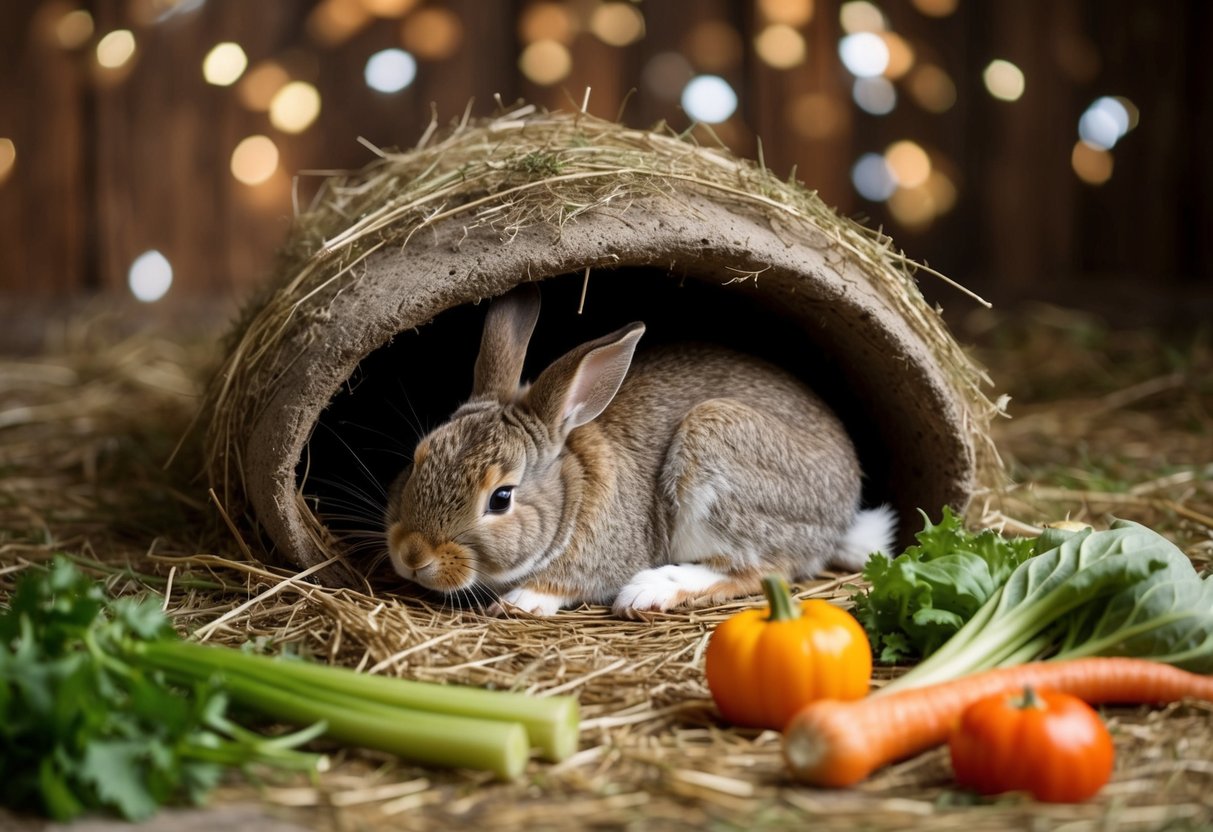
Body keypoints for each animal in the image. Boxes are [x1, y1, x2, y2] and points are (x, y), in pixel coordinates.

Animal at [383, 283, 896, 618]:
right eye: (418, 458)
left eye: (501, 499)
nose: (413, 557)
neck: (573, 487)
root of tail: (841, 516)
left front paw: (523, 600)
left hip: (720, 459)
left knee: (763, 569)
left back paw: (651, 590)